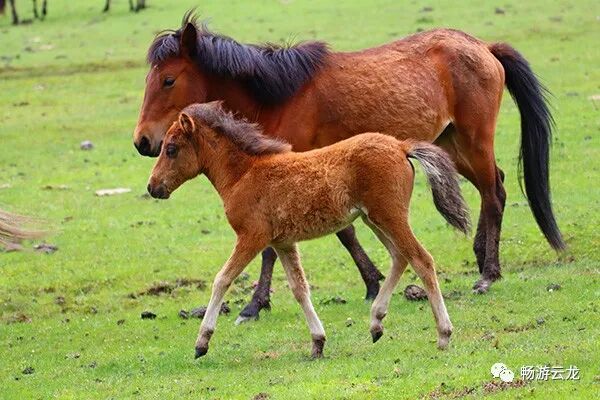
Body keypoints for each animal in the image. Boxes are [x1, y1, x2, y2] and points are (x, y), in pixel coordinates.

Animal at [133, 12, 564, 322]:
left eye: (168, 80)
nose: (142, 141)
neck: (279, 97)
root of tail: (483, 46)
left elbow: (279, 247)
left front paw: (254, 305)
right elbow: (345, 232)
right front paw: (373, 281)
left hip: (474, 140)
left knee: (494, 192)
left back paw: (488, 273)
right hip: (450, 143)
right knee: (496, 186)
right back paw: (480, 256)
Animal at [146, 102, 471, 358]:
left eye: (171, 149)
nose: (152, 187)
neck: (244, 174)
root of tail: (401, 146)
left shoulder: (252, 237)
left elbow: (221, 280)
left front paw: (201, 343)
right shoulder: (282, 242)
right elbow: (299, 289)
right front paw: (318, 342)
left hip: (389, 215)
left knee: (421, 259)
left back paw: (443, 334)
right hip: (374, 219)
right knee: (400, 257)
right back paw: (376, 323)